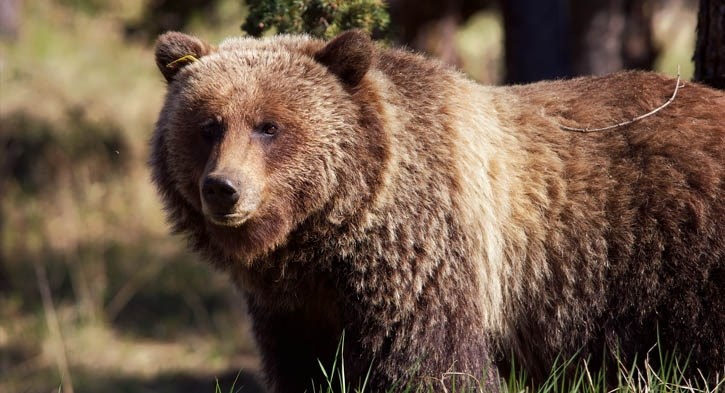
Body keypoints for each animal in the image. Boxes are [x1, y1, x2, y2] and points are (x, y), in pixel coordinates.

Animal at [150, 29, 720, 390]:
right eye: (208, 125)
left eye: (269, 126)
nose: (223, 188)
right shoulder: (295, 307)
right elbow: (302, 367)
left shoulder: (425, 263)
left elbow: (431, 364)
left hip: (674, 254)